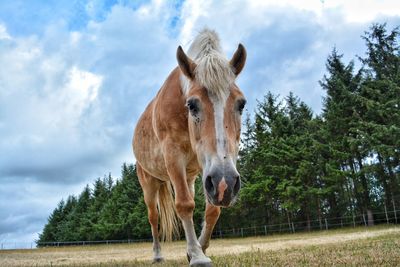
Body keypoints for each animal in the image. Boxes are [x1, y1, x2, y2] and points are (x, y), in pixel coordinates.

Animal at [134, 28, 247, 266]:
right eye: (192, 105)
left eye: (241, 104)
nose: (225, 184)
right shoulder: (173, 156)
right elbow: (184, 205)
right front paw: (196, 256)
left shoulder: (211, 171)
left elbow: (212, 211)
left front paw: (198, 249)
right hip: (149, 183)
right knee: (153, 217)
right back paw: (157, 254)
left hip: (191, 178)